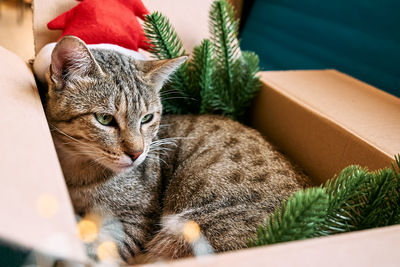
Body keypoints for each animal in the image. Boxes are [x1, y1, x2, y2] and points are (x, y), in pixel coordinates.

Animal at [41, 36, 310, 266]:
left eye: (147, 118)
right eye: (105, 119)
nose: (137, 153)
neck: (79, 170)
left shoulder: (135, 221)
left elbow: (99, 252)